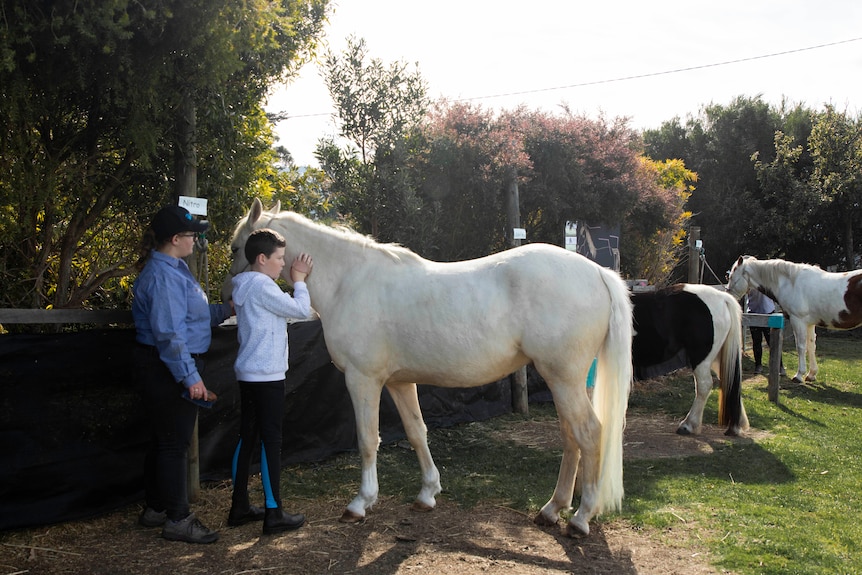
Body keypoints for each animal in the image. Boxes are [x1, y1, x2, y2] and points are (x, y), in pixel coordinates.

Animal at [228, 200, 636, 536]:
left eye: (235, 248)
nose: (227, 295)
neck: (349, 280)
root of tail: (598, 272)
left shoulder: (362, 379)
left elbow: (367, 439)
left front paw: (360, 503)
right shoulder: (398, 383)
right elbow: (416, 432)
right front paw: (427, 493)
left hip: (563, 378)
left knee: (589, 433)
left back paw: (581, 517)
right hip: (570, 381)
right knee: (571, 437)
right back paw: (552, 510)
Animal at [636, 286, 748, 438]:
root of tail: (723, 298)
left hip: (701, 359)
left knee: (704, 385)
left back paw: (688, 425)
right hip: (718, 358)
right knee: (729, 382)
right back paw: (737, 425)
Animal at [728, 255, 862, 382]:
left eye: (731, 276)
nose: (729, 296)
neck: (791, 283)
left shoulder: (798, 320)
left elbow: (801, 346)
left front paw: (799, 375)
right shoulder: (809, 323)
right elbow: (811, 346)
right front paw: (811, 374)